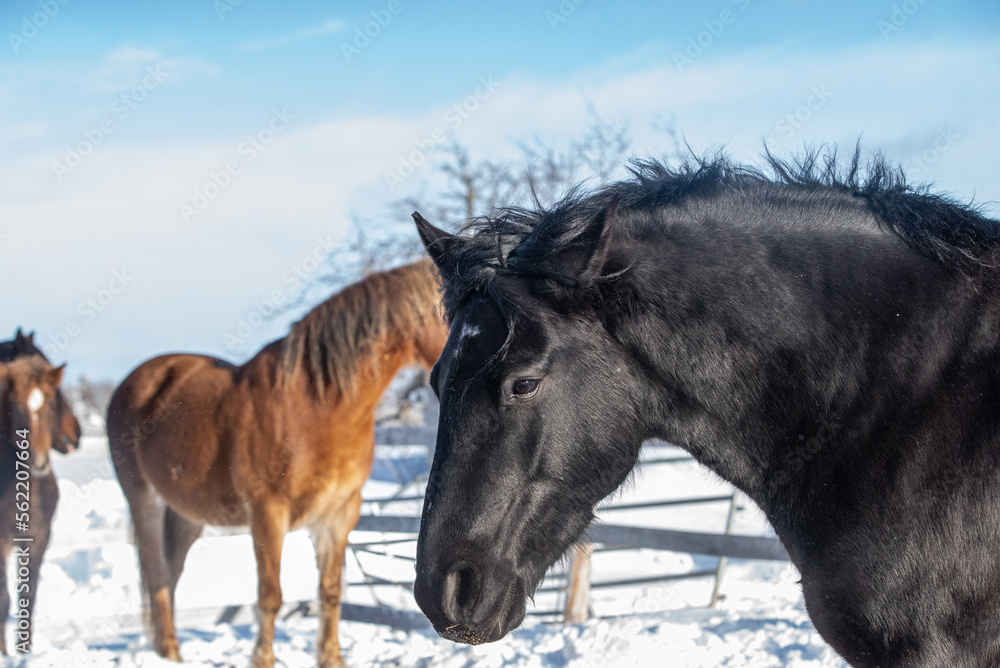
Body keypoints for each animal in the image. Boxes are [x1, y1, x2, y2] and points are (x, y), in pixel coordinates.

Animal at [107, 260, 447, 668]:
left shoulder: (338, 516)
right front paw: (262, 659)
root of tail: (140, 380)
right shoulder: (268, 514)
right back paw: (170, 652)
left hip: (187, 515)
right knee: (156, 573)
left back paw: (168, 651)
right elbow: (270, 596)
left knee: (170, 576)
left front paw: (331, 659)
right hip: (143, 500)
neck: (320, 406)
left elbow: (329, 592)